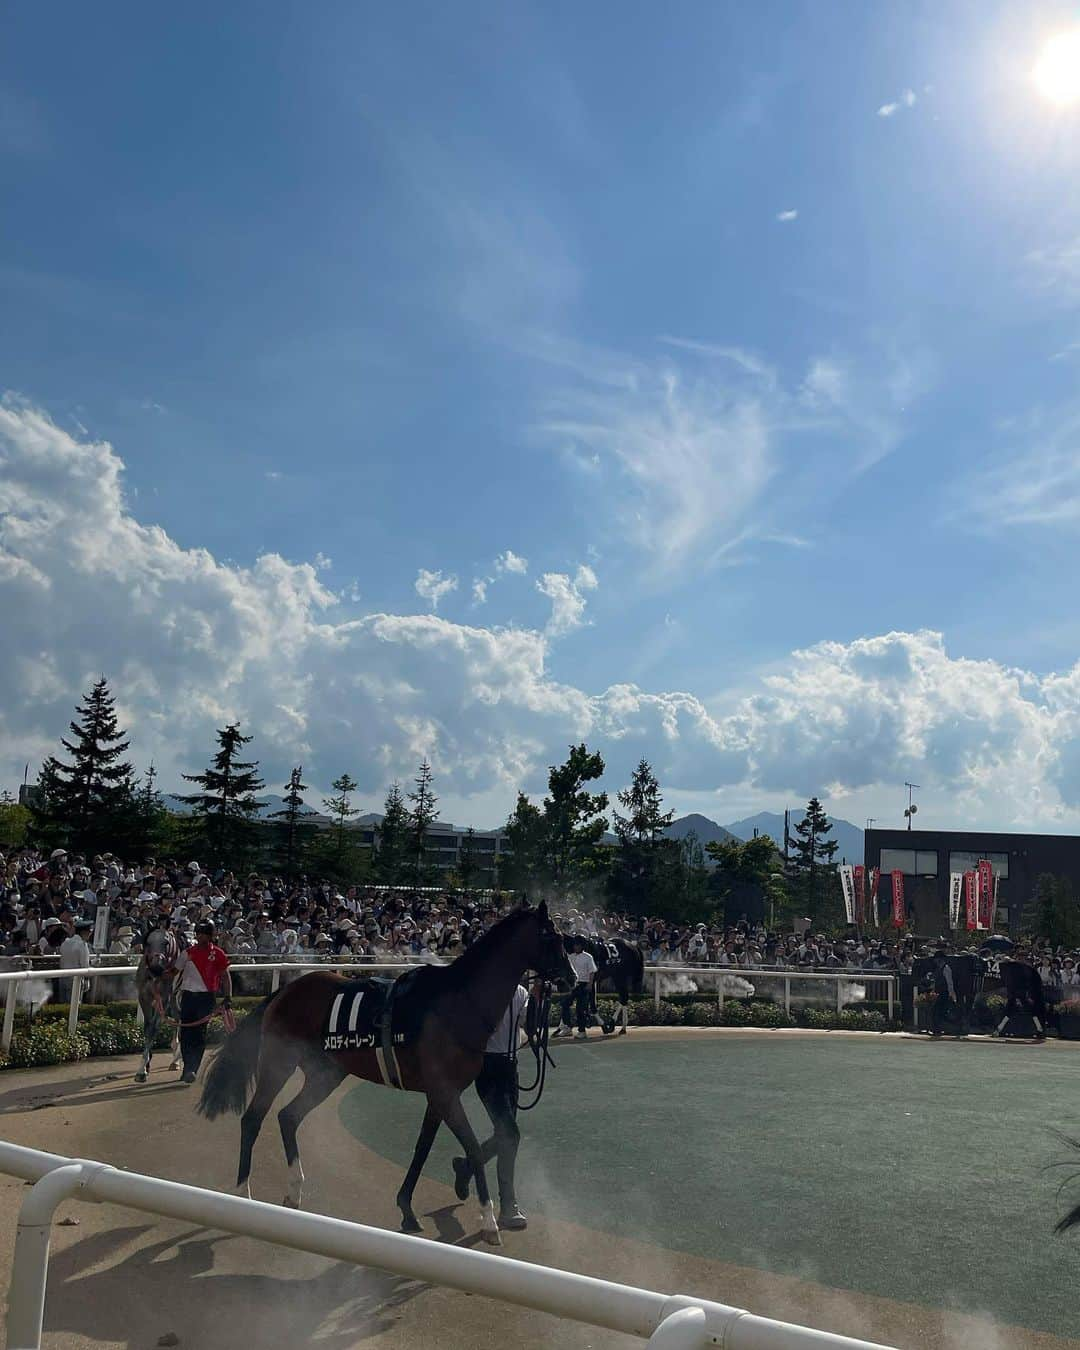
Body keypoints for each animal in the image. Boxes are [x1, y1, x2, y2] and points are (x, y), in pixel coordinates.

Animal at [198, 901, 569, 1247]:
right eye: (552, 937)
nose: (571, 978)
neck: (458, 1004)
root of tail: (285, 991)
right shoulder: (446, 1092)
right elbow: (474, 1148)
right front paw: (489, 1222)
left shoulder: (438, 1095)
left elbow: (422, 1149)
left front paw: (407, 1208)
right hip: (279, 1063)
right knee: (253, 1118)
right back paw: (243, 1194)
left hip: (326, 1074)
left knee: (288, 1117)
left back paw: (294, 1192)